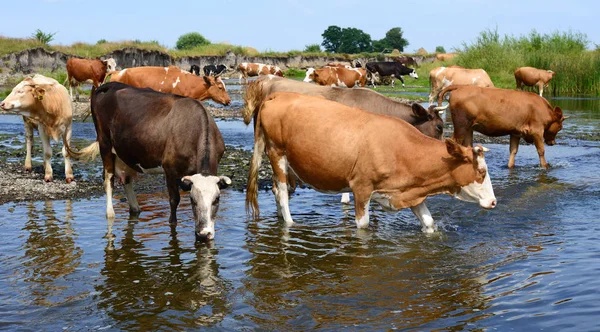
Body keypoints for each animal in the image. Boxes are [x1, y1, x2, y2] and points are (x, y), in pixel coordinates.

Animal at [64, 81, 231, 240]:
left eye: (217, 199)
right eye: (192, 200)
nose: (203, 234)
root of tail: (109, 85)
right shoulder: (169, 169)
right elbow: (174, 201)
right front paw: (173, 224)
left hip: (126, 150)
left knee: (126, 179)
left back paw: (135, 209)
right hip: (104, 143)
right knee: (109, 179)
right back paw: (110, 213)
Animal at [246, 92, 500, 232]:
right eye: (481, 172)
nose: (494, 202)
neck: (401, 149)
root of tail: (277, 95)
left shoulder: (410, 191)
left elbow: (428, 223)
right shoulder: (362, 188)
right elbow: (364, 226)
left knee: (279, 190)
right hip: (277, 153)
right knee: (281, 192)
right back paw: (289, 224)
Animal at [436, 85, 568, 169]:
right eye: (560, 127)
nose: (553, 142)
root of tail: (461, 87)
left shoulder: (516, 132)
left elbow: (513, 151)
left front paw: (510, 166)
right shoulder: (537, 131)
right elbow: (541, 150)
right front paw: (545, 166)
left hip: (469, 128)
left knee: (467, 147)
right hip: (461, 126)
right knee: (452, 143)